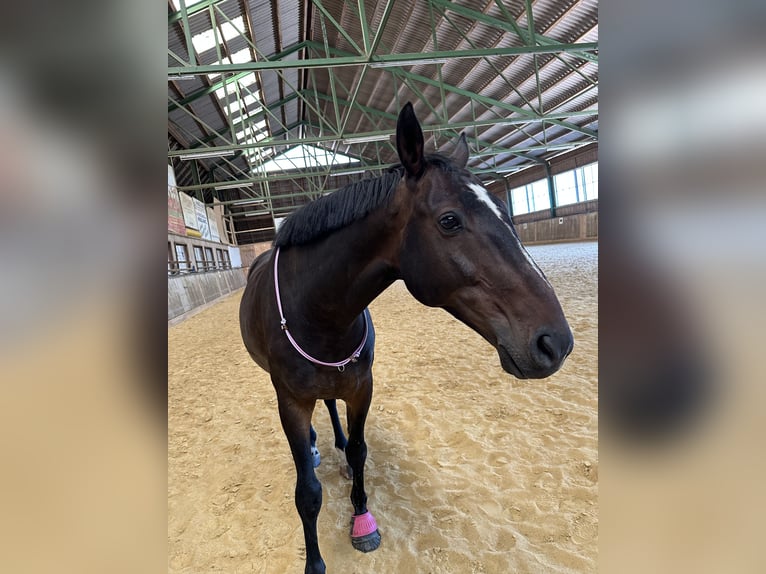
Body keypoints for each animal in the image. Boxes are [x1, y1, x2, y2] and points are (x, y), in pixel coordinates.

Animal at [239, 102, 574, 574]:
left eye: (506, 209)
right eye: (450, 220)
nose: (556, 342)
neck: (317, 312)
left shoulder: (361, 387)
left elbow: (360, 453)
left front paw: (361, 518)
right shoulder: (290, 402)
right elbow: (307, 492)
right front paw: (315, 562)